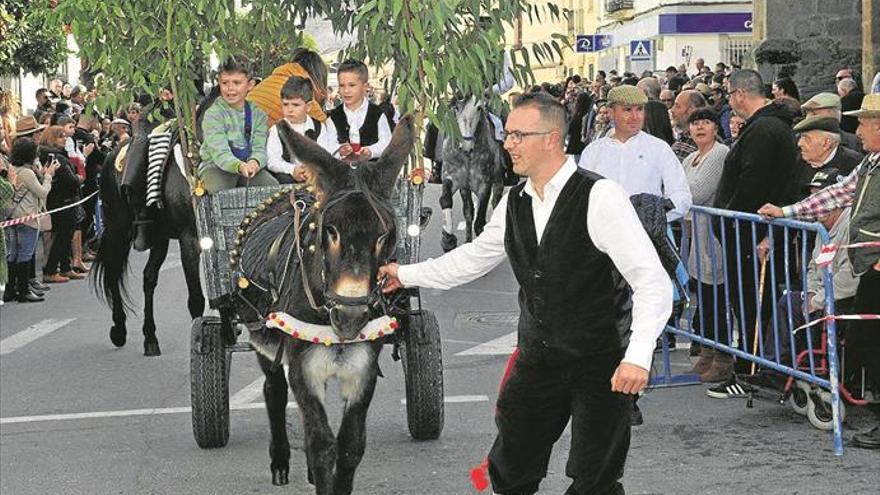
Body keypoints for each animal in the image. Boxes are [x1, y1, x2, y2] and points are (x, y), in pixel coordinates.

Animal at [91, 124, 206, 356]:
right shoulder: (189, 239)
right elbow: (196, 299)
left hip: (160, 237)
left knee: (149, 277)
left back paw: (150, 338)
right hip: (118, 228)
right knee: (113, 272)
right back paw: (119, 330)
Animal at [232, 115, 414, 492]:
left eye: (384, 235)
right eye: (329, 230)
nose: (350, 315)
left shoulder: (362, 371)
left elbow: (349, 445)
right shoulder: (304, 369)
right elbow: (320, 443)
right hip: (264, 341)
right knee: (274, 390)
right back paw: (281, 462)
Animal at [438, 95, 502, 254]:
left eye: (479, 108)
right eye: (456, 107)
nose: (466, 146)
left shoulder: (484, 184)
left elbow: (480, 223)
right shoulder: (452, 178)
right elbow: (445, 200)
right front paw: (448, 239)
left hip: (498, 182)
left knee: (494, 203)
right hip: (465, 189)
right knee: (468, 212)